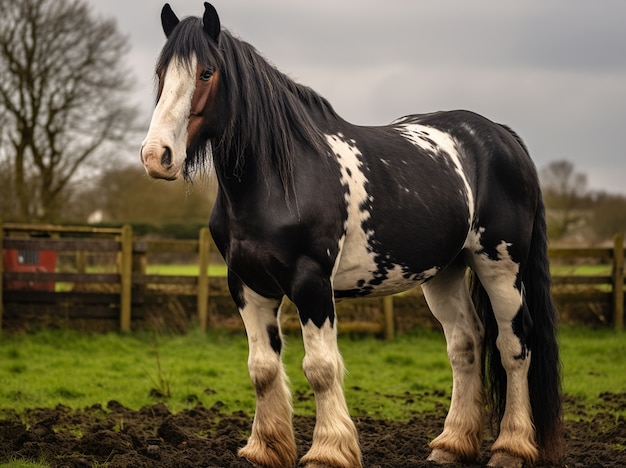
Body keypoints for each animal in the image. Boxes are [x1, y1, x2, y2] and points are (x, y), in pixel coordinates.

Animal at [140, 3, 560, 468]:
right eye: (161, 72)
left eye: (206, 72)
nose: (156, 156)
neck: (281, 179)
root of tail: (502, 136)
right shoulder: (248, 284)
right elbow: (262, 368)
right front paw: (265, 449)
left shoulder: (311, 282)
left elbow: (321, 368)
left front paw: (328, 451)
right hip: (446, 271)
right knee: (466, 344)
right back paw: (451, 445)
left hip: (500, 265)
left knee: (514, 345)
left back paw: (511, 448)